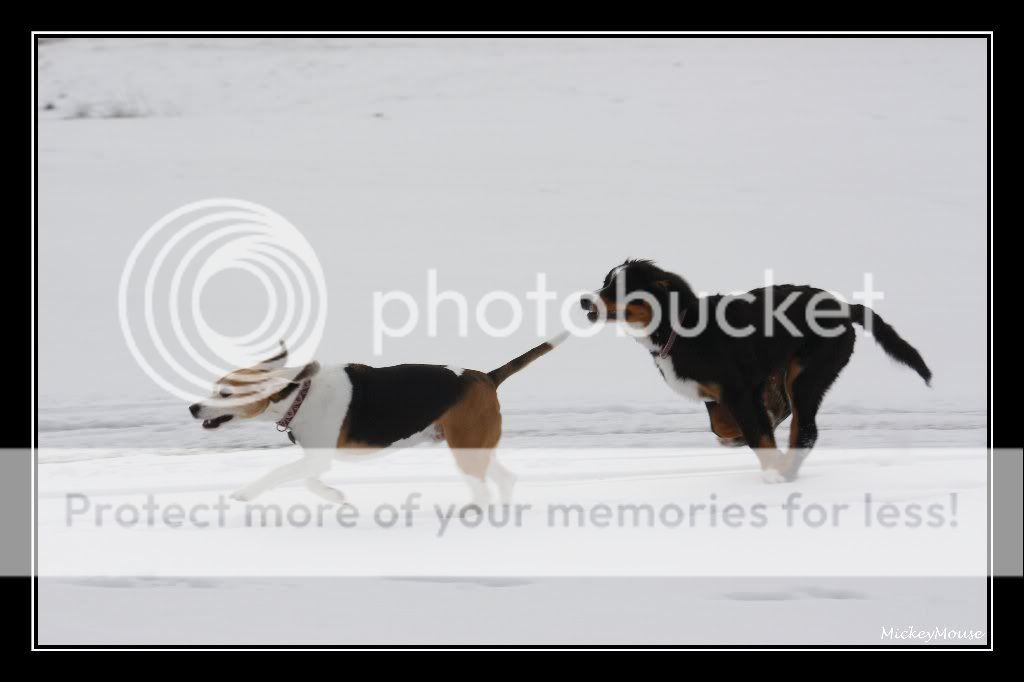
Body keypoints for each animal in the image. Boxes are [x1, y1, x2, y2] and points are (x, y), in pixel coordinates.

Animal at [585, 258, 929, 481]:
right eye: (605, 283)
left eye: (620, 287)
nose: (584, 301)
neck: (677, 328)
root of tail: (844, 308)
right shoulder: (723, 392)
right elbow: (726, 427)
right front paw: (744, 435)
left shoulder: (737, 388)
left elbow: (757, 434)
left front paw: (772, 469)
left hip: (808, 372)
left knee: (807, 431)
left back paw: (785, 473)